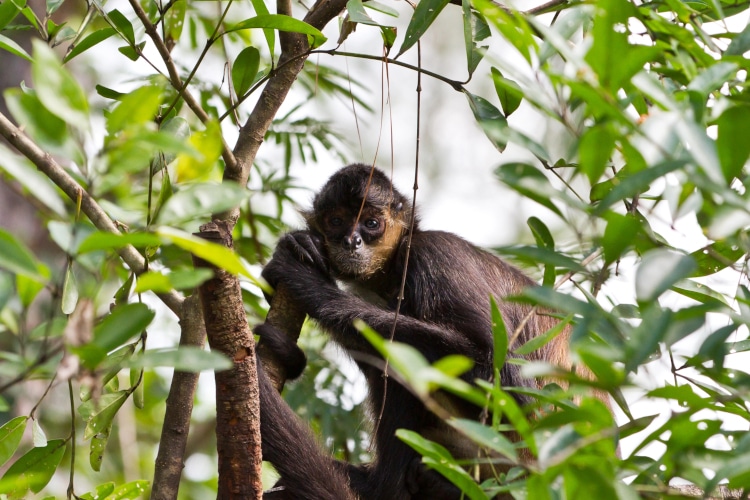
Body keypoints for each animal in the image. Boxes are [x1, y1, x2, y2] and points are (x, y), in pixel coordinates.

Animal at [258, 165, 588, 500]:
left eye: (371, 223)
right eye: (336, 222)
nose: (352, 241)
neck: (394, 270)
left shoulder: (434, 255)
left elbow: (506, 380)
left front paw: (310, 286)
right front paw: (297, 246)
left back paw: (382, 485)